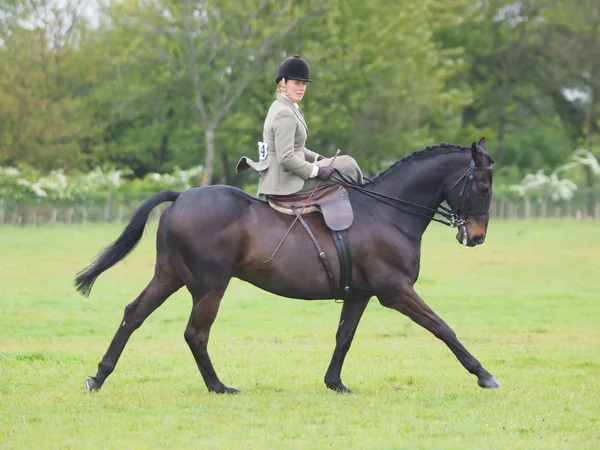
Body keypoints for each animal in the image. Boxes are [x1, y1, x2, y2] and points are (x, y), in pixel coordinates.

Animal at [78, 137, 502, 394]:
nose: (477, 237)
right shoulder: (395, 291)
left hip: (169, 276)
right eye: (483, 187)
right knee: (195, 334)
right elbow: (442, 328)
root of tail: (182, 196)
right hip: (209, 286)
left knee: (133, 314)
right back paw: (219, 386)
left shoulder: (361, 294)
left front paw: (335, 383)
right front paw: (483, 374)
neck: (388, 212)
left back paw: (99, 376)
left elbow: (344, 337)